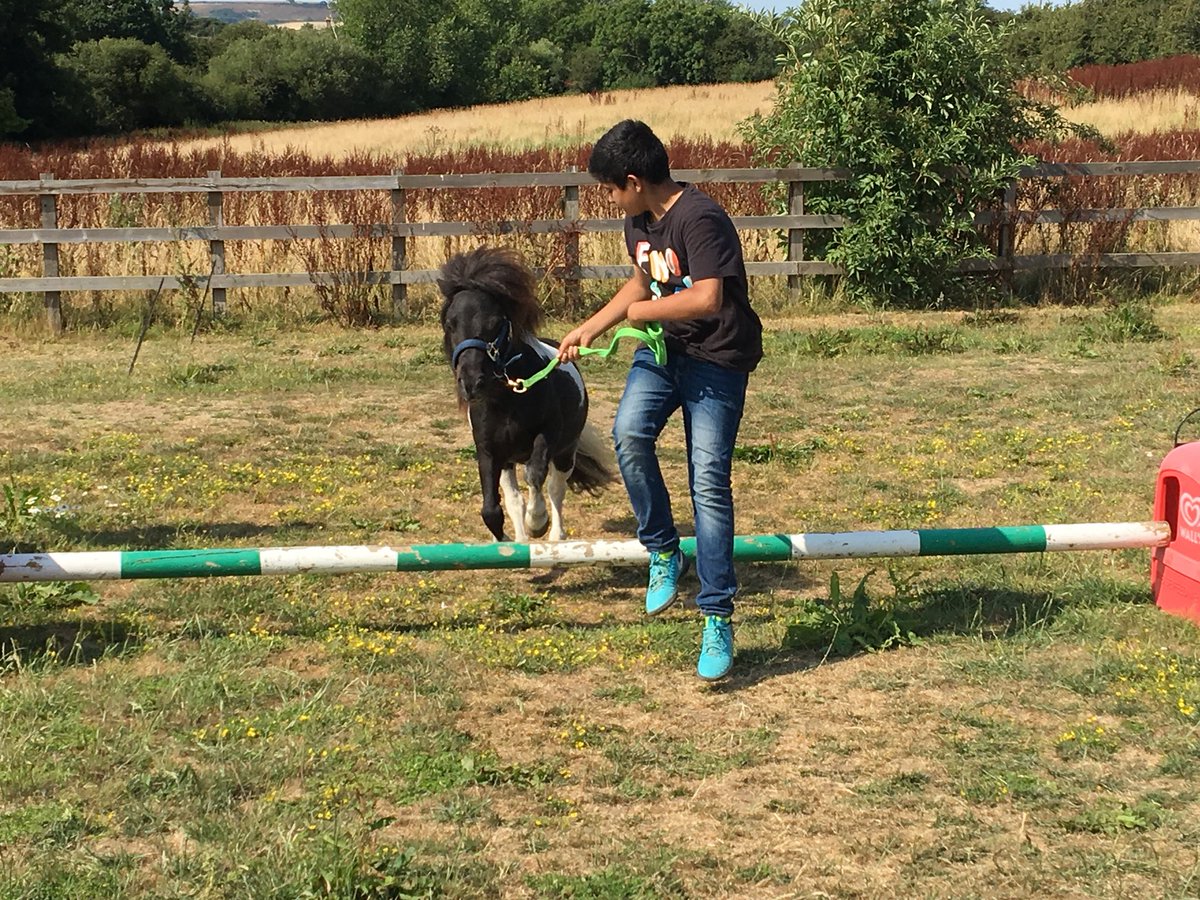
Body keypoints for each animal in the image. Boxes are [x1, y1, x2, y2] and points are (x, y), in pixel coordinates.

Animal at [438, 247, 614, 542]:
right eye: (450, 324)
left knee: (555, 489)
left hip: (565, 452)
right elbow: (492, 508)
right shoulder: (489, 452)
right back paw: (522, 540)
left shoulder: (547, 436)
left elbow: (535, 475)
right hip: (509, 461)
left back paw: (555, 535)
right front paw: (506, 540)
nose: (472, 382)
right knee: (514, 499)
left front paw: (537, 522)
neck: (507, 400)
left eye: (495, 322)